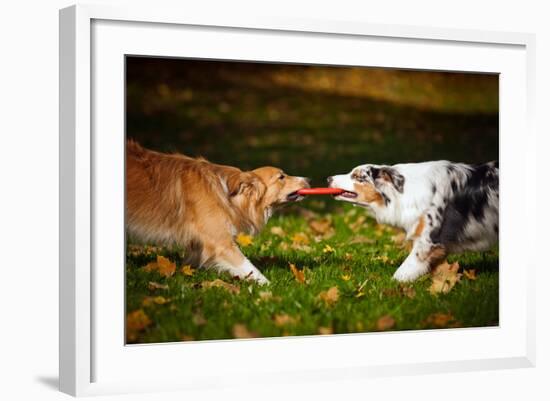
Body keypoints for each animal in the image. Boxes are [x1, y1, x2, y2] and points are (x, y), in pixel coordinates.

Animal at [126, 139, 310, 282]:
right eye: (281, 177)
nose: (308, 179)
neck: (228, 194)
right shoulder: (220, 241)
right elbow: (249, 267)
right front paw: (269, 288)